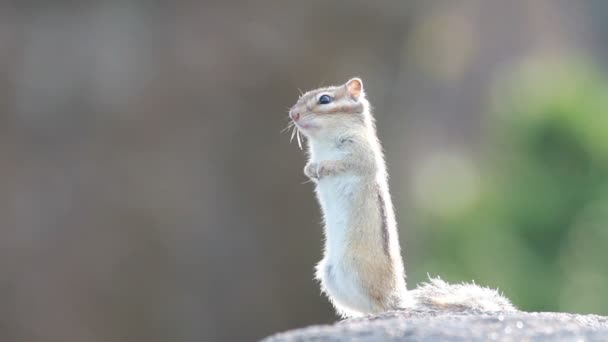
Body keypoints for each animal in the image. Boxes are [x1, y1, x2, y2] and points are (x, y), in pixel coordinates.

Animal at [288, 77, 516, 318]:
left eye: (324, 99)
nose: (293, 114)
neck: (323, 141)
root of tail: (399, 299)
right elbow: (312, 166)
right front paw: (310, 170)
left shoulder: (360, 152)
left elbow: (346, 163)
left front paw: (323, 167)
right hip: (330, 276)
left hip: (356, 269)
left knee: (381, 307)